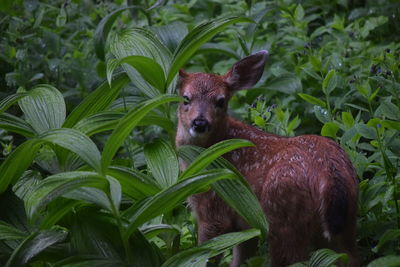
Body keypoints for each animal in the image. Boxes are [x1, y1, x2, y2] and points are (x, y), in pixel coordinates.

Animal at [175, 50, 360, 267]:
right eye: (186, 98)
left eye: (221, 101)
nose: (200, 122)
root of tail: (329, 173)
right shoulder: (247, 223)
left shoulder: (213, 211)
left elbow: (206, 255)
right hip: (347, 221)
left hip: (282, 216)